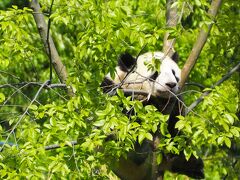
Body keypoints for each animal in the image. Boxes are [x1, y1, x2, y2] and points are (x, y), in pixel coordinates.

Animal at [100, 51, 203, 179]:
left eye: (174, 73)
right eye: (155, 73)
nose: (171, 84)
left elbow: (175, 128)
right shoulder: (115, 92)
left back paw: (193, 167)